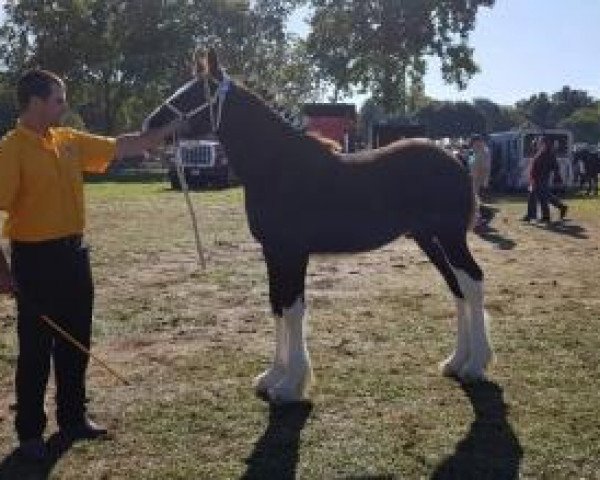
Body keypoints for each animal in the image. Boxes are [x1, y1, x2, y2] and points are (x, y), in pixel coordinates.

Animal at [144, 48, 492, 404]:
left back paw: (476, 365)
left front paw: (290, 385)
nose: (149, 125)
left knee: (473, 282)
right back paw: (455, 361)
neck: (278, 167)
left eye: (194, 94)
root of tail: (454, 158)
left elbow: (293, 308)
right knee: (456, 286)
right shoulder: (273, 252)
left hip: (450, 237)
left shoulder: (292, 251)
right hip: (428, 238)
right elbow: (276, 305)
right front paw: (272, 377)